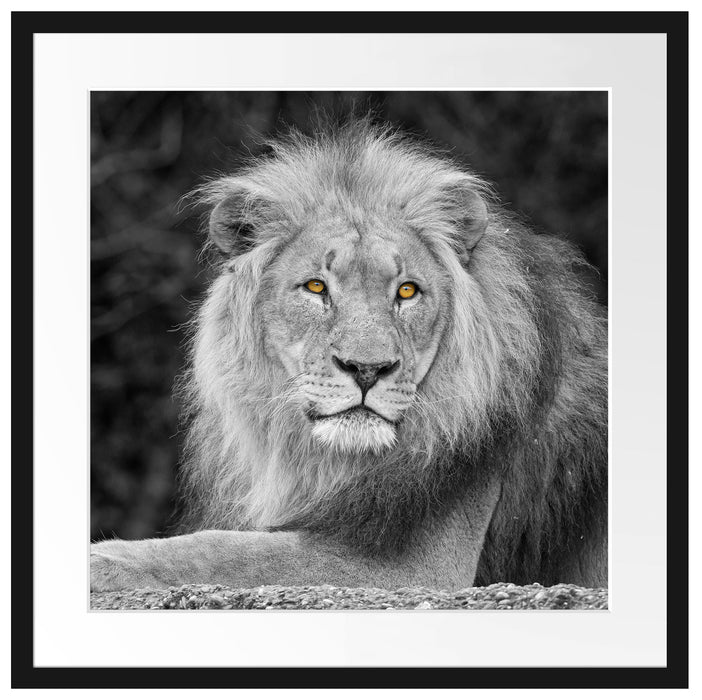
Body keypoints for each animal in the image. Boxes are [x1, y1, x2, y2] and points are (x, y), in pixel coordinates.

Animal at [91, 119, 608, 593]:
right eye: (316, 287)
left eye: (407, 291)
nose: (367, 369)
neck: (326, 463)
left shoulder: (417, 567)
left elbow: (226, 551)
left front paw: (105, 560)